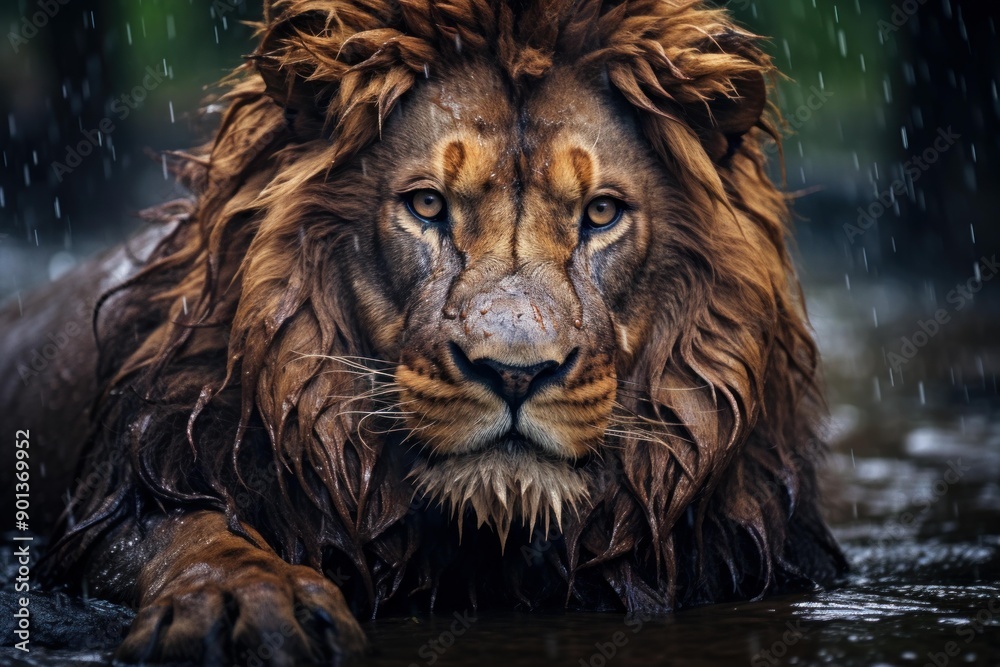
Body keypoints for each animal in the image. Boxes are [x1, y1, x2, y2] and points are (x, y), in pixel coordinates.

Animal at [0, 0, 847, 663]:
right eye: (428, 205)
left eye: (601, 213)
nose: (515, 373)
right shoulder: (126, 496)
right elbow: (194, 530)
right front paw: (243, 605)